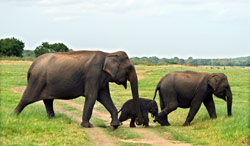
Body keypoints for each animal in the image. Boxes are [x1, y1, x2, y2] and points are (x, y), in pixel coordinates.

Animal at [14, 50, 143, 128]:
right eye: (129, 68)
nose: (138, 122)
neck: (109, 53)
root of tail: (32, 66)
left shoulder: (101, 78)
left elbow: (105, 97)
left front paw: (116, 125)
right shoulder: (93, 74)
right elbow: (92, 96)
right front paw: (88, 126)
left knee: (48, 101)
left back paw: (53, 119)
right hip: (37, 80)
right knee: (26, 98)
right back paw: (14, 116)